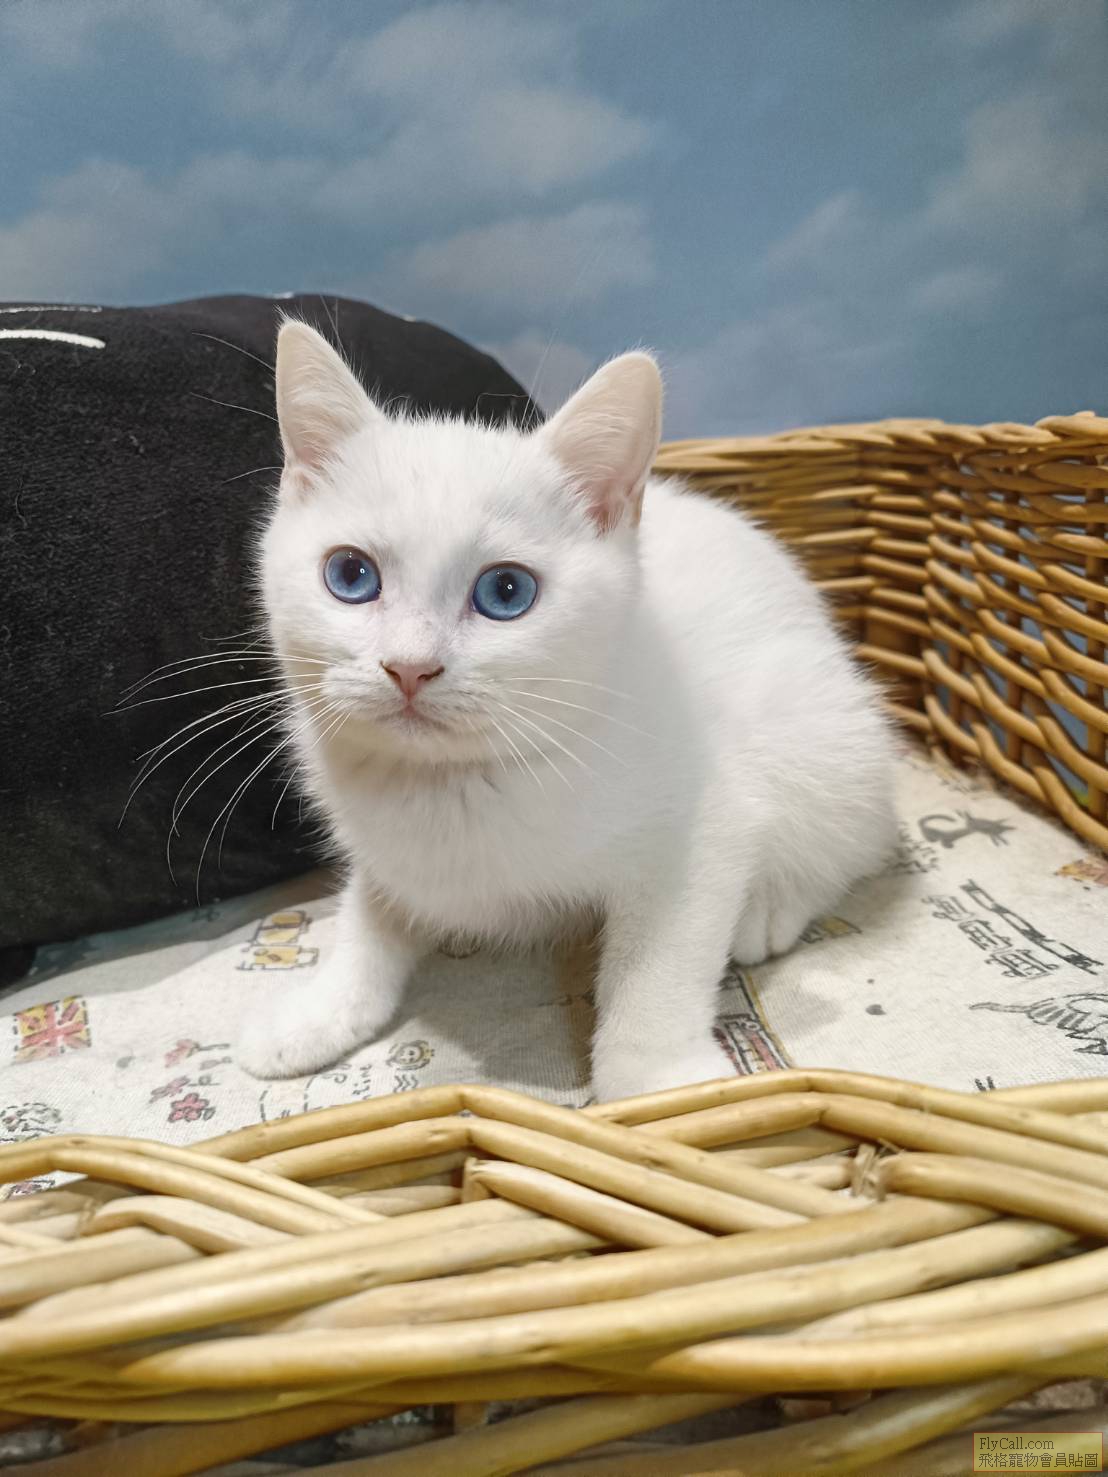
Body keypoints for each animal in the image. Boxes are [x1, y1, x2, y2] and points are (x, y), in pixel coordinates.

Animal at [238, 320, 897, 1099]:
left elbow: (657, 962)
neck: (452, 785)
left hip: (823, 727)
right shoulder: (387, 848)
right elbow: (368, 912)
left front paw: (658, 1076)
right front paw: (321, 1009)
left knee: (855, 837)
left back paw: (766, 912)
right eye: (349, 575)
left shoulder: (702, 824)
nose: (409, 666)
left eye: (506, 592)